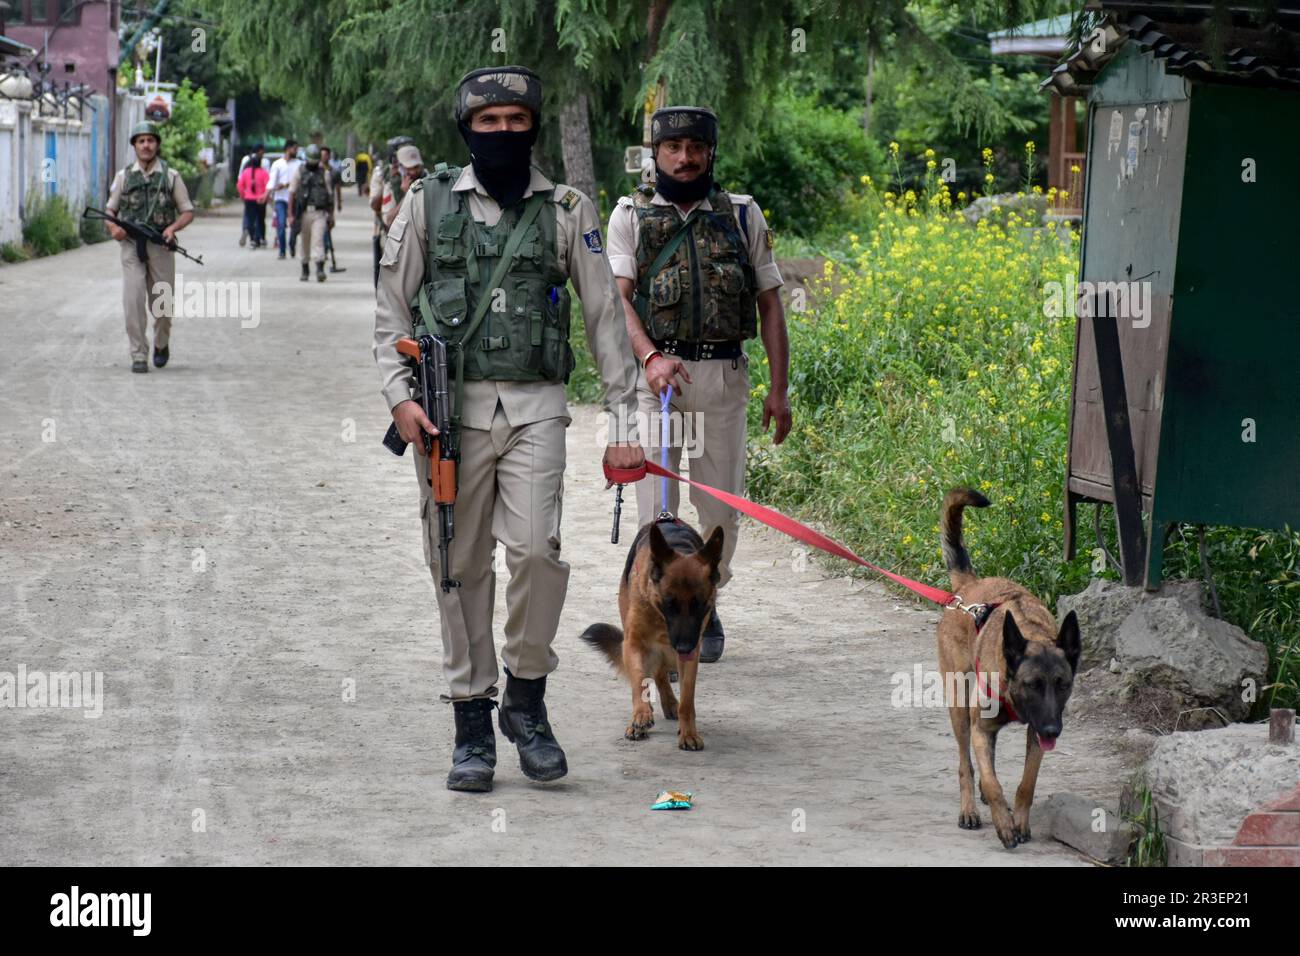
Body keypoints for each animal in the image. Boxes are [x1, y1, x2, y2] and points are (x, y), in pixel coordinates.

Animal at [579, 520, 722, 749]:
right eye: (670, 603)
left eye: (699, 605)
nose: (683, 647)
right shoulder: (633, 643)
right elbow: (639, 681)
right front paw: (640, 715)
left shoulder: (691, 652)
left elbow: (687, 699)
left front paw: (688, 733)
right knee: (653, 673)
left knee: (662, 673)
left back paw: (671, 704)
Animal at [941, 489, 1081, 848]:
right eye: (1033, 684)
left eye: (1063, 684)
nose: (1053, 731)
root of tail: (968, 587)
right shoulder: (981, 729)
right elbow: (992, 782)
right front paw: (1003, 823)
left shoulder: (1036, 733)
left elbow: (1026, 783)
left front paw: (1018, 820)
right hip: (959, 708)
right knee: (966, 764)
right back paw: (970, 808)